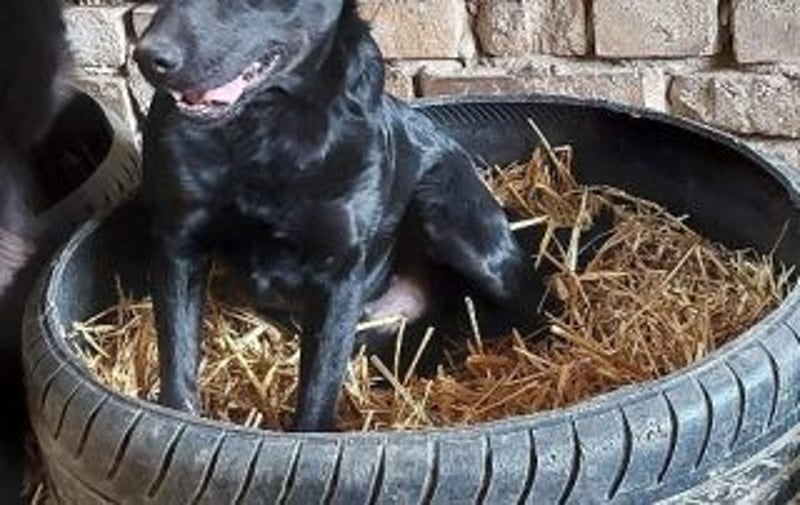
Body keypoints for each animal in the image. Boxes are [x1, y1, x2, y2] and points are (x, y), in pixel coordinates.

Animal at [135, 0, 544, 431]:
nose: (147, 57)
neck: (263, 127)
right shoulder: (179, 245)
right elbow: (177, 363)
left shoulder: (338, 268)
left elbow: (318, 389)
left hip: (450, 220)